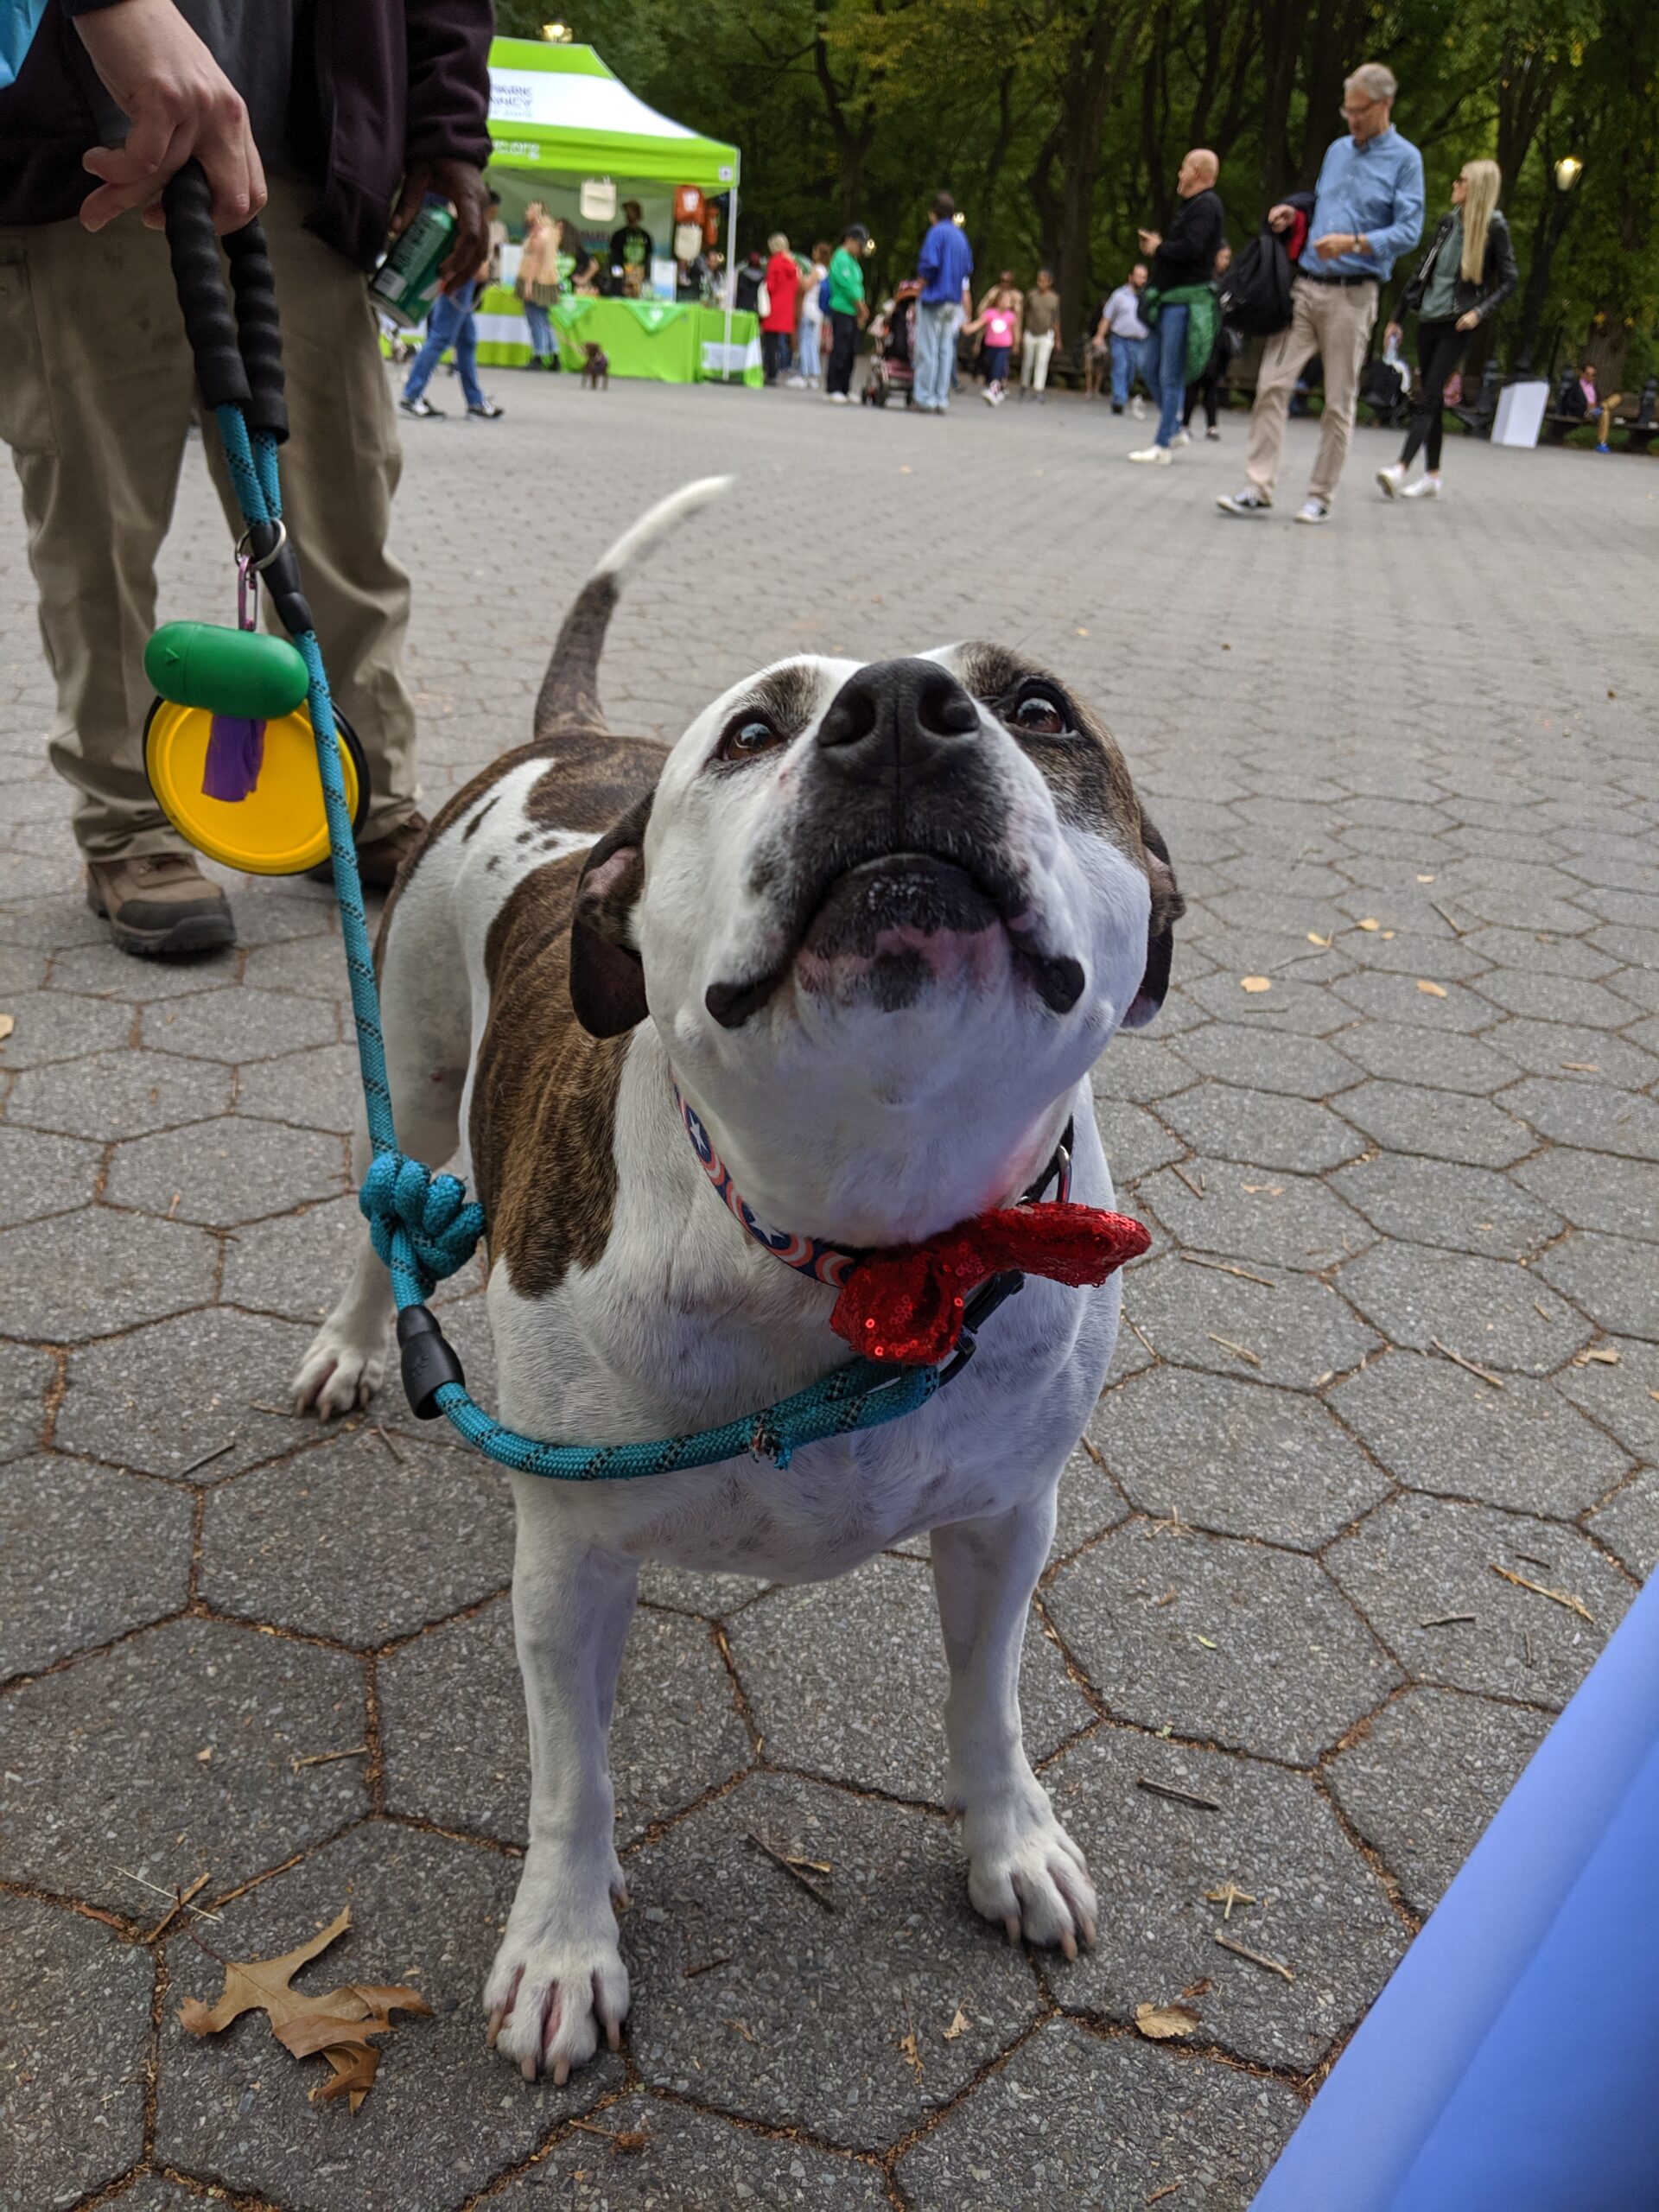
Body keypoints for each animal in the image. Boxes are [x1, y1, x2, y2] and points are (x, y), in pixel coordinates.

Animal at [296, 475, 1185, 2079]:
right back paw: (348, 1342)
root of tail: (581, 742)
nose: (900, 712)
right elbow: (572, 1779)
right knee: (375, 1208)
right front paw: (563, 1946)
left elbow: (989, 1698)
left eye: (1040, 707)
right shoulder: (570, 1565)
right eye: (757, 732)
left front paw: (1009, 1844)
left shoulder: (1007, 1518)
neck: (866, 1236)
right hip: (415, 1063)